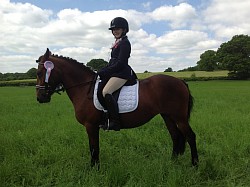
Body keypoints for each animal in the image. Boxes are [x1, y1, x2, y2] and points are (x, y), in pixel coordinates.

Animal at [35, 48, 199, 167]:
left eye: (39, 72)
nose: (40, 98)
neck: (84, 87)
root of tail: (180, 81)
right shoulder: (91, 126)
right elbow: (94, 147)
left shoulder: (91, 125)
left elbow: (94, 148)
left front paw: (94, 169)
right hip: (167, 116)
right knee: (175, 136)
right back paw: (172, 162)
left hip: (179, 117)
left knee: (190, 136)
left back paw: (194, 165)